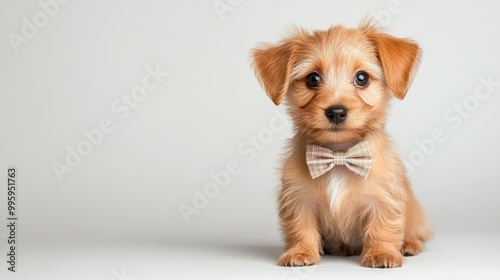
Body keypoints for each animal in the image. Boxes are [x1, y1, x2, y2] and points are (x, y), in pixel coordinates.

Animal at [252, 20, 432, 268]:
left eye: (362, 78)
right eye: (313, 79)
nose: (336, 112)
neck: (339, 155)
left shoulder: (383, 198)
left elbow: (383, 226)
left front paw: (381, 253)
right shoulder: (299, 198)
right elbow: (300, 227)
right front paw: (301, 252)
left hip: (415, 217)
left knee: (416, 233)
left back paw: (408, 245)